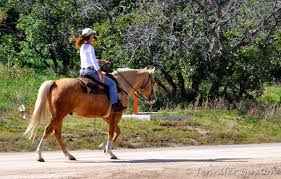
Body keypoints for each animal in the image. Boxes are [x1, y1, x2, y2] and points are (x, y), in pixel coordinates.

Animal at [23, 67, 158, 162]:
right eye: (153, 82)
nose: (154, 99)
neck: (120, 86)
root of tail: (55, 82)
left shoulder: (107, 117)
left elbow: (117, 132)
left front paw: (105, 148)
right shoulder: (116, 114)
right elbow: (111, 133)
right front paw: (109, 152)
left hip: (59, 116)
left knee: (56, 133)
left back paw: (69, 155)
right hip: (58, 115)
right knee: (48, 130)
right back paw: (40, 155)